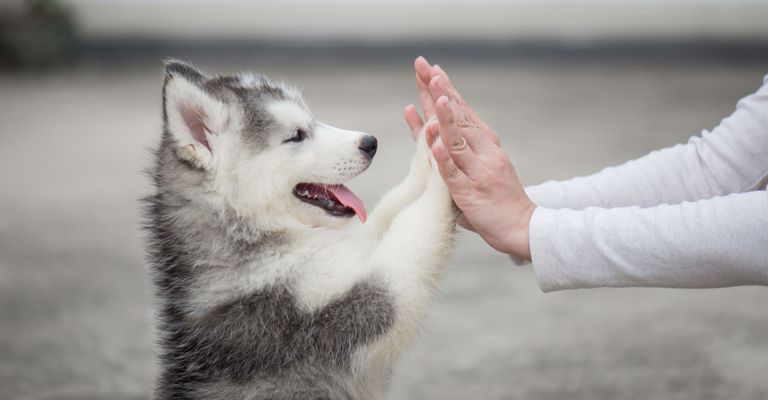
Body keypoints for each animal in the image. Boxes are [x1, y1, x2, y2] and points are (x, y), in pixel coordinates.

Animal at [143, 60, 456, 400]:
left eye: (312, 120)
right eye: (296, 135)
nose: (370, 143)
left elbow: (389, 207)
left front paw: (429, 144)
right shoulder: (346, 311)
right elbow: (413, 227)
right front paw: (447, 166)